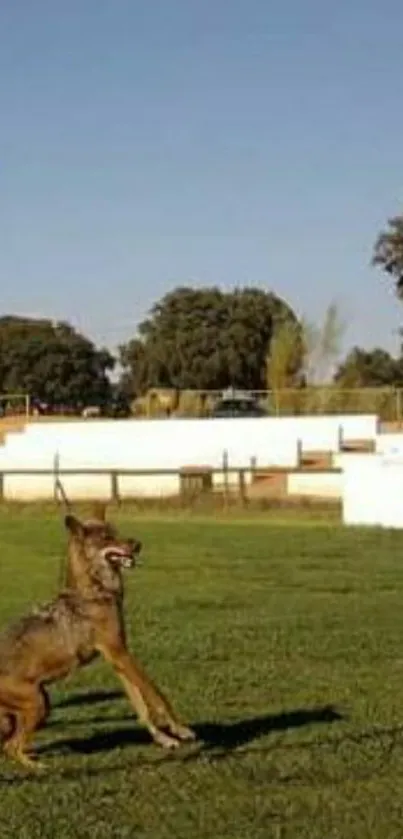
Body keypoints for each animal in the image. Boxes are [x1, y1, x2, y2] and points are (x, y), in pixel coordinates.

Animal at [0, 508, 196, 772]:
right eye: (106, 537)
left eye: (116, 531)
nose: (138, 544)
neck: (95, 591)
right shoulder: (119, 652)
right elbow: (157, 695)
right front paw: (180, 729)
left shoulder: (117, 659)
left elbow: (141, 706)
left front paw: (164, 738)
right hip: (38, 703)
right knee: (12, 747)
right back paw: (38, 767)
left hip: (37, 705)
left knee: (8, 745)